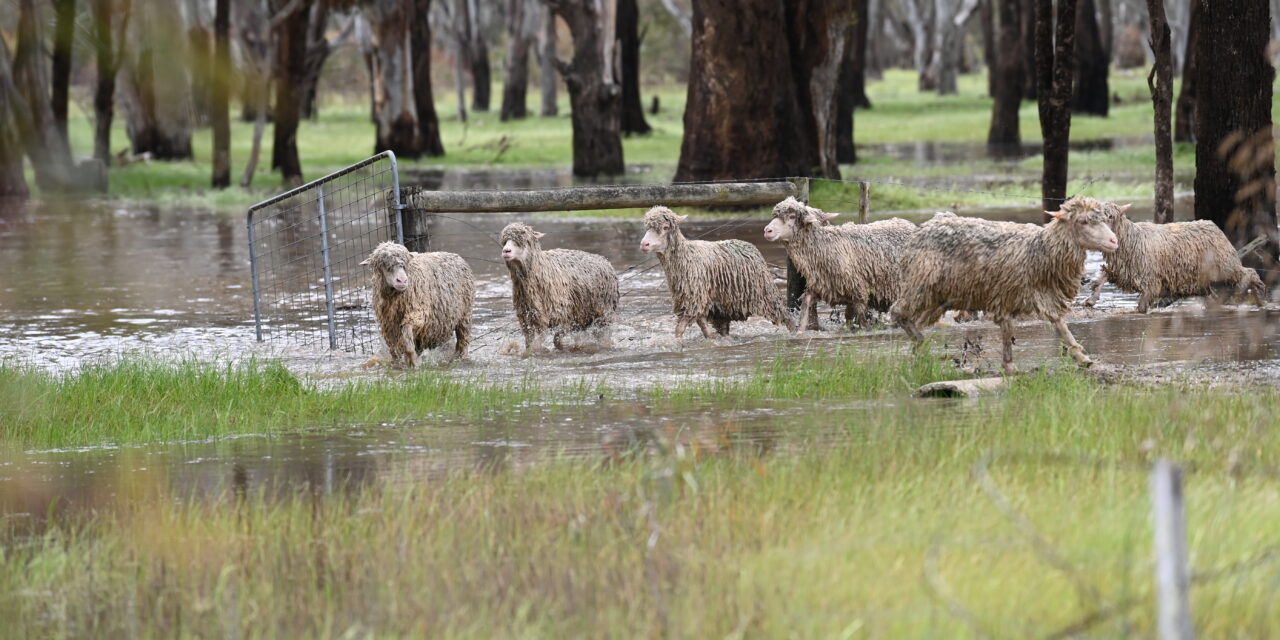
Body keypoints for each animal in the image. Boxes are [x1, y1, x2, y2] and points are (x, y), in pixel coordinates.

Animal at [499, 222, 619, 355]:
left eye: (523, 241)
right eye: (505, 242)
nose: (506, 251)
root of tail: (605, 260)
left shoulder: (563, 315)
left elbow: (555, 339)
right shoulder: (528, 316)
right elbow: (530, 342)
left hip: (604, 314)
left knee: (603, 335)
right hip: (583, 315)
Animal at [645, 206, 793, 340]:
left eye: (665, 227)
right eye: (647, 228)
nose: (644, 244)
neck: (686, 256)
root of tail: (750, 246)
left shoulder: (694, 297)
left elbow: (680, 327)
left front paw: (676, 341)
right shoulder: (696, 298)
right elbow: (702, 324)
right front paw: (711, 337)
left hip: (764, 292)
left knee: (785, 316)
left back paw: (794, 331)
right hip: (724, 305)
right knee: (724, 326)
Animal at [762, 197, 916, 332]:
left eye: (792, 216)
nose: (767, 230)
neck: (828, 245)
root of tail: (908, 224)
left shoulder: (859, 292)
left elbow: (861, 320)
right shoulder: (822, 286)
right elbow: (807, 305)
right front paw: (800, 331)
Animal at [890, 195, 1121, 373]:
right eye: (1083, 222)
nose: (1114, 241)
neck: (1041, 249)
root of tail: (923, 227)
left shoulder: (1042, 293)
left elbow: (1059, 324)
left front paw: (1082, 358)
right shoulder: (1006, 294)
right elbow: (1008, 331)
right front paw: (1010, 366)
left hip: (938, 297)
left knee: (915, 320)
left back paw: (916, 354)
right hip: (920, 284)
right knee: (897, 312)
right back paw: (919, 342)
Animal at [1080, 204, 1269, 312]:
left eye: (1110, 216)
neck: (1132, 239)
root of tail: (1212, 225)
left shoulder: (1150, 280)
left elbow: (1142, 306)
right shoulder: (1121, 271)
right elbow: (1103, 277)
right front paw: (1090, 300)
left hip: (1225, 265)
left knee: (1249, 272)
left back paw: (1258, 294)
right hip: (1202, 280)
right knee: (1213, 296)